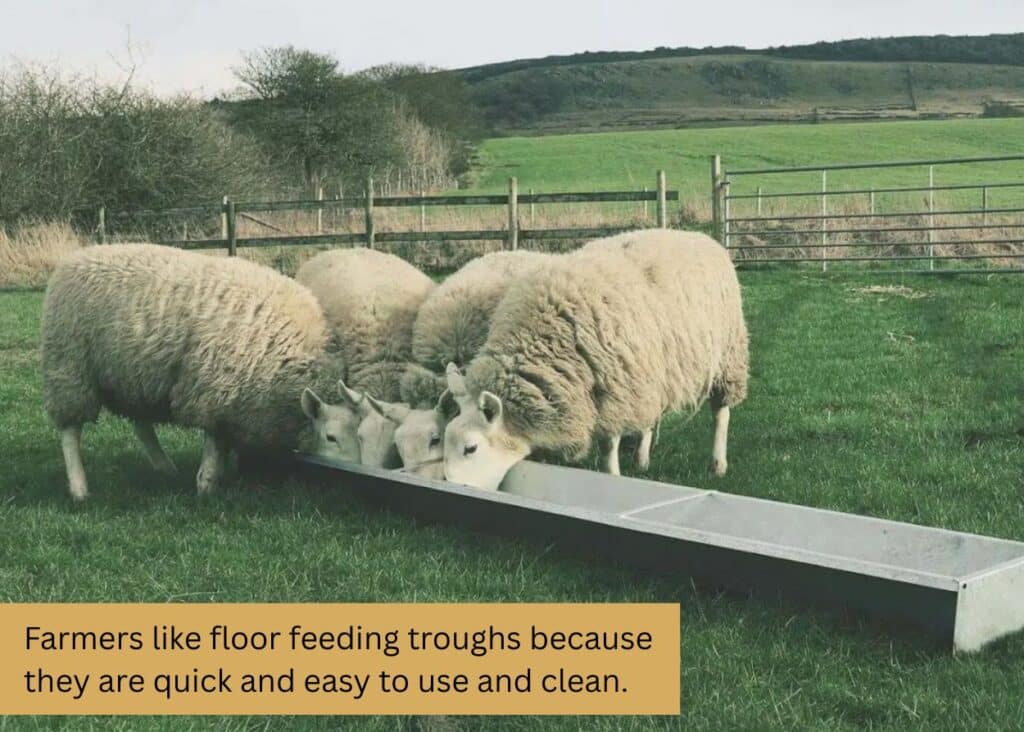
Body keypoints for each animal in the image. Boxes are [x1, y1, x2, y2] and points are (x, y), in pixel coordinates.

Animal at [41, 243, 343, 499]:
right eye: (333, 437)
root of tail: (73, 258)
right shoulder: (214, 390)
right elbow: (214, 441)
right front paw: (206, 485)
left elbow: (221, 440)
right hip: (69, 367)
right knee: (70, 432)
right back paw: (79, 488)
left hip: (135, 375)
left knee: (141, 425)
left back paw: (165, 467)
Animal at [442, 229, 749, 491]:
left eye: (471, 448)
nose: (449, 486)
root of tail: (702, 237)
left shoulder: (614, 390)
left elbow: (608, 444)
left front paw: (611, 476)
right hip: (652, 371)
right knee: (650, 416)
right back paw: (642, 458)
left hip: (728, 356)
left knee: (721, 412)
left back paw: (718, 463)